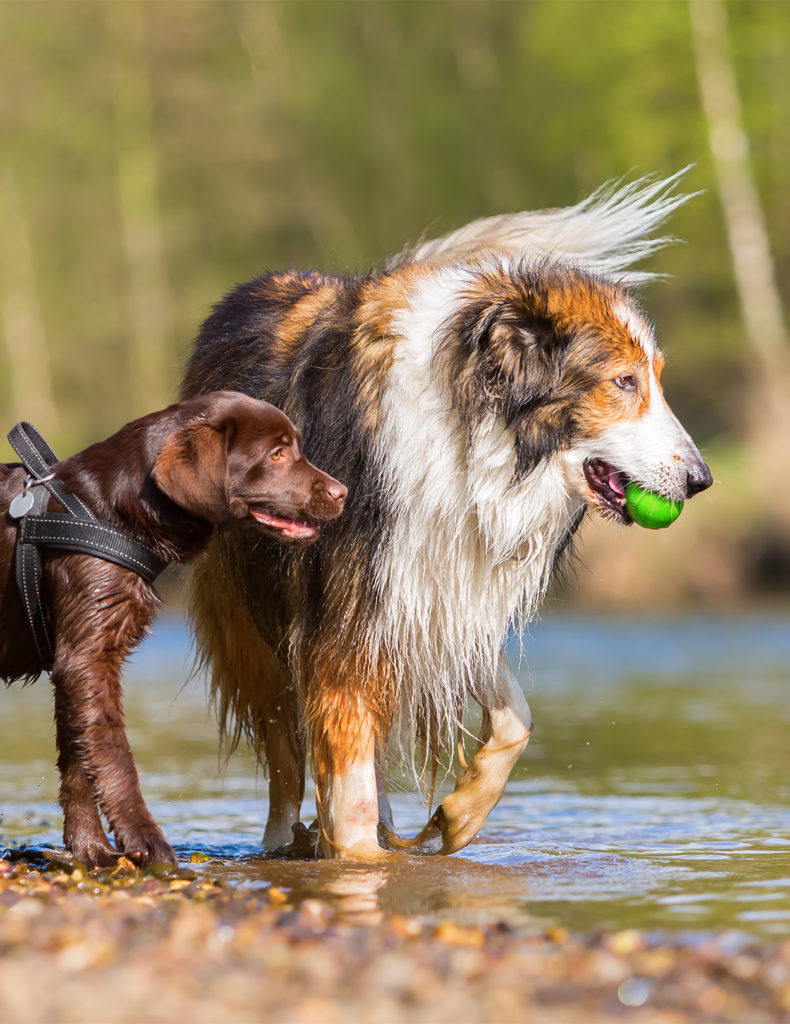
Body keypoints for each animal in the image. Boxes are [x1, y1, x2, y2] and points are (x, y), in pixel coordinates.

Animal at [0, 389, 346, 864]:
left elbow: (78, 760)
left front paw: (91, 850)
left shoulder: (77, 659)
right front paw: (147, 843)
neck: (107, 512)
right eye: (276, 454)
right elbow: (113, 756)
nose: (343, 492)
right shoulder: (87, 659)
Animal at [182, 172, 713, 860]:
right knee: (283, 756)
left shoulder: (443, 597)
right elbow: (345, 786)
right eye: (624, 382)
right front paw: (360, 860)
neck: (475, 435)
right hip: (253, 623)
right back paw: (283, 842)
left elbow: (516, 719)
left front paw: (460, 813)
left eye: (654, 379)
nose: (701, 480)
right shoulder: (346, 620)